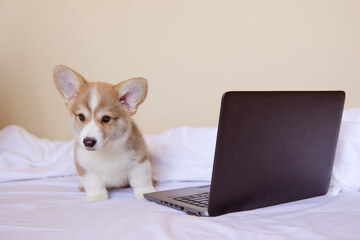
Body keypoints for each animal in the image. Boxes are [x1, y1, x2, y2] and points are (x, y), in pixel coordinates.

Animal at [52, 64, 155, 202]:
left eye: (106, 118)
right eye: (81, 116)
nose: (88, 142)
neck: (106, 150)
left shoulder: (139, 162)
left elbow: (141, 180)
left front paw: (145, 193)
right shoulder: (85, 168)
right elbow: (94, 183)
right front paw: (97, 197)